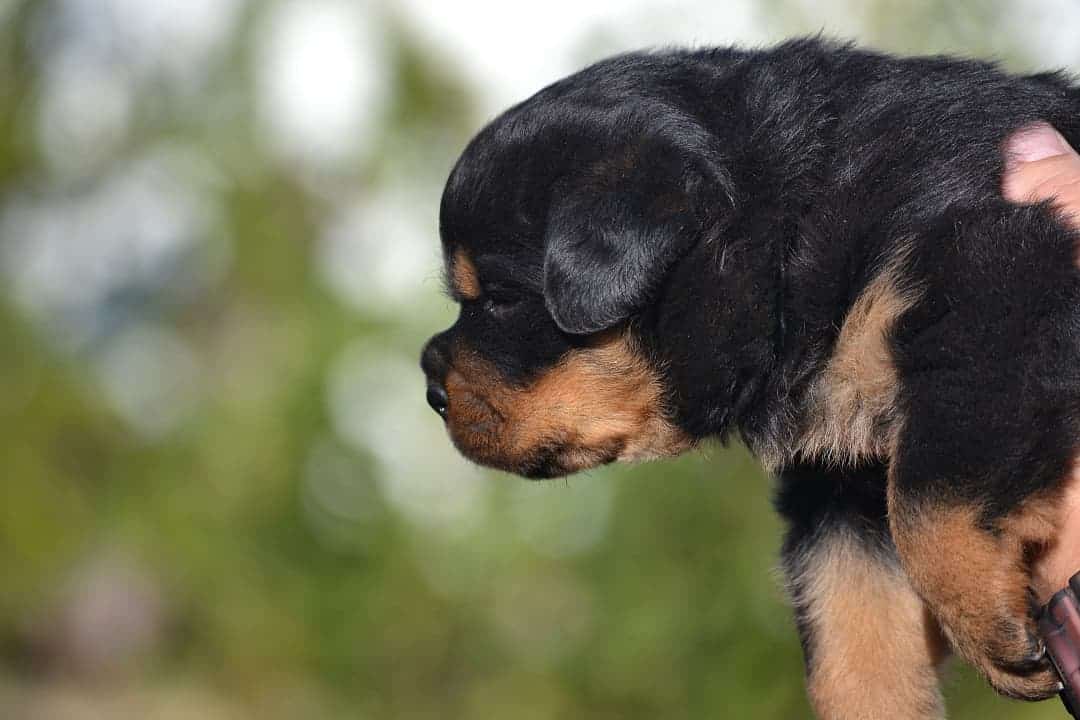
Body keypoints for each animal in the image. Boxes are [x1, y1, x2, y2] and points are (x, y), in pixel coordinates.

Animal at [419, 39, 1080, 720]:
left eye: (500, 299)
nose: (432, 390)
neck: (787, 240)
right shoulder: (839, 479)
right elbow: (850, 636)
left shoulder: (1000, 280)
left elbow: (930, 494)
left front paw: (989, 626)